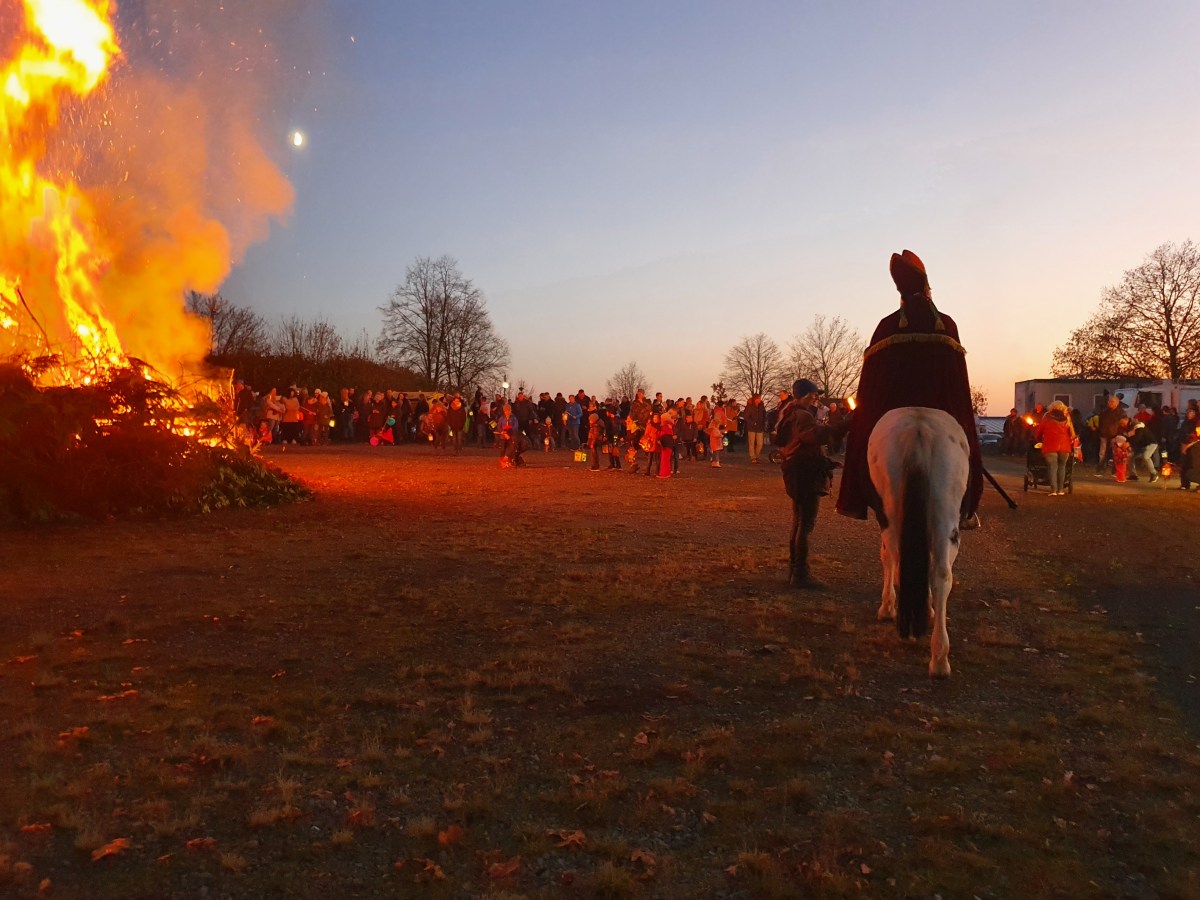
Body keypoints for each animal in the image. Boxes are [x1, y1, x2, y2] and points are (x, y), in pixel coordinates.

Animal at [868, 408, 969, 676]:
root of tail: (919, 427)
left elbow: (887, 558)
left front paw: (887, 608)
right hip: (945, 513)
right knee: (942, 574)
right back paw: (940, 658)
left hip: (891, 514)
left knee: (900, 562)